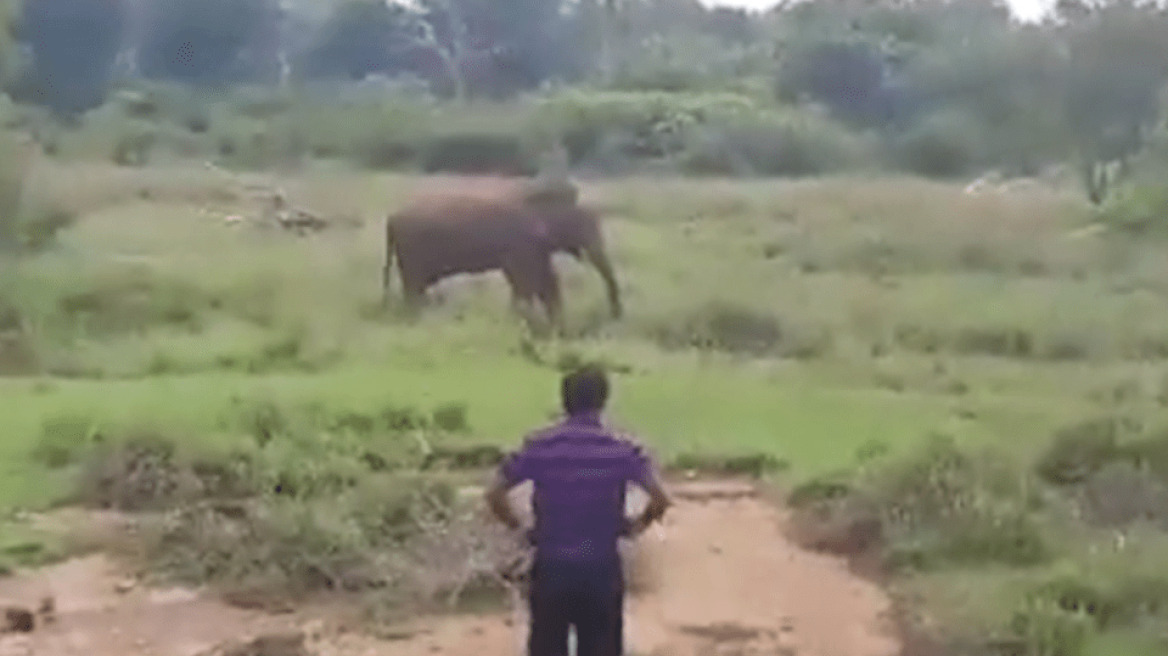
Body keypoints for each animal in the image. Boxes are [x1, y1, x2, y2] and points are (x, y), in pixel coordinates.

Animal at [380, 187, 621, 324]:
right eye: (586, 227)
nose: (615, 316)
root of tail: (392, 217)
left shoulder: (532, 249)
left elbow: (544, 279)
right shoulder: (523, 246)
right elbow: (526, 281)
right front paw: (520, 320)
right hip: (412, 252)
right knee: (413, 286)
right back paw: (415, 317)